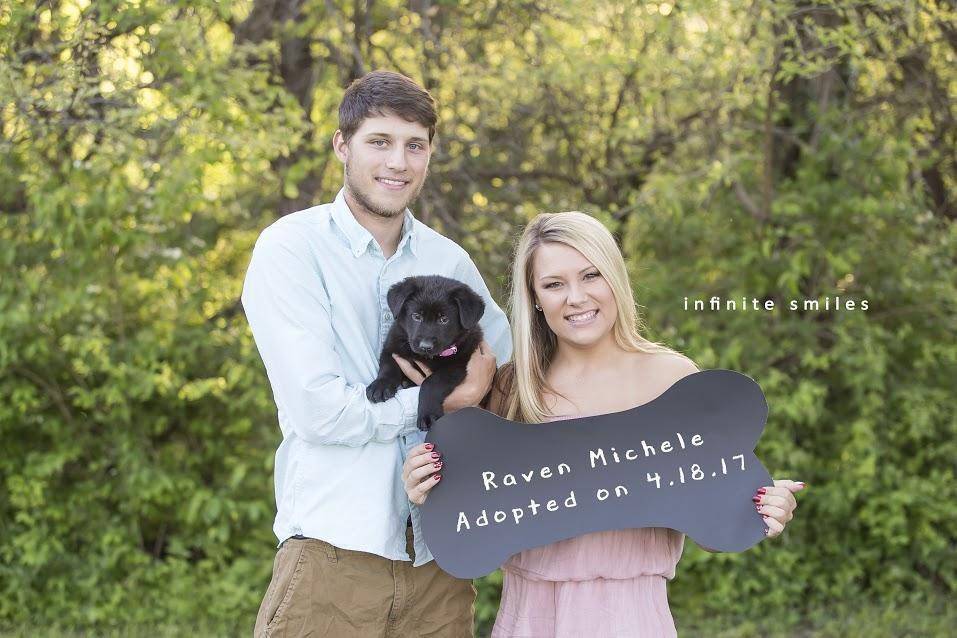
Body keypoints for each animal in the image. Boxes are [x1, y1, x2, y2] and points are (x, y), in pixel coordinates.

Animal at [366, 275, 485, 430]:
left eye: (444, 319)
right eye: (416, 316)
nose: (425, 346)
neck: (426, 357)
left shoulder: (456, 366)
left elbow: (431, 383)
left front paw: (428, 414)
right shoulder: (392, 346)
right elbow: (388, 367)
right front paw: (380, 385)